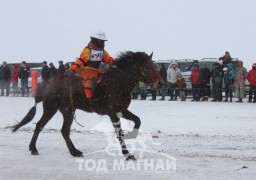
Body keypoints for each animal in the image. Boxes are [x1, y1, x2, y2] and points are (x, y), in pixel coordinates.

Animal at [12, 50, 162, 160]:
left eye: (154, 66)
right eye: (147, 67)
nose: (160, 83)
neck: (117, 83)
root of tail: (49, 84)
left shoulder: (122, 110)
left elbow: (138, 120)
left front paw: (131, 135)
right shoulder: (112, 113)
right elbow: (119, 133)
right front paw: (127, 154)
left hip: (67, 111)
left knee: (63, 130)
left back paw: (73, 151)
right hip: (52, 108)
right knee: (41, 125)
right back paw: (35, 148)